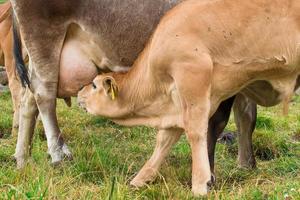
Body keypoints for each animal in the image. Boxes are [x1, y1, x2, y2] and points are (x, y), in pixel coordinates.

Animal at [78, 0, 300, 196]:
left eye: (95, 84)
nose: (79, 92)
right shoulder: (176, 103)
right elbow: (164, 140)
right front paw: (140, 179)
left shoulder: (193, 77)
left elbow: (196, 131)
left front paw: (201, 183)